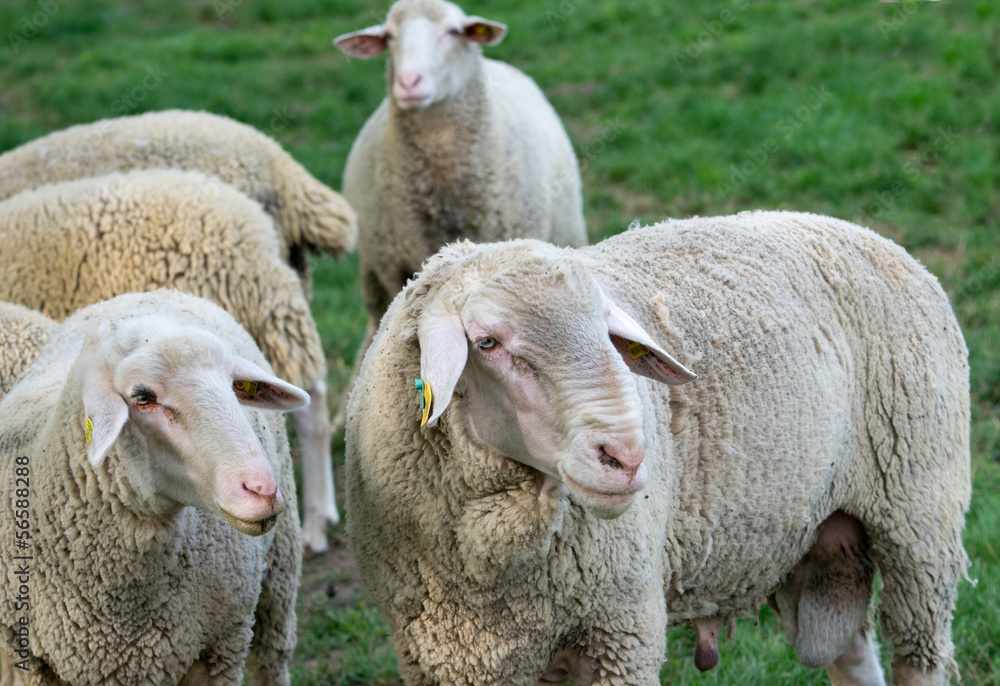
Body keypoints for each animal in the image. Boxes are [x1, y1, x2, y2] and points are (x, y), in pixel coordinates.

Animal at [0, 290, 308, 686]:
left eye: (233, 386)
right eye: (143, 397)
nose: (262, 490)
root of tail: (148, 293)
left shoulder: (220, 650)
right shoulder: (37, 663)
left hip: (279, 570)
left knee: (272, 656)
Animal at [348, 212, 972, 684]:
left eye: (609, 335)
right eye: (486, 343)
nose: (627, 458)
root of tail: (868, 234)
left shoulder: (622, 629)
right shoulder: (444, 656)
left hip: (919, 520)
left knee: (920, 653)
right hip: (826, 537)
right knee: (853, 655)